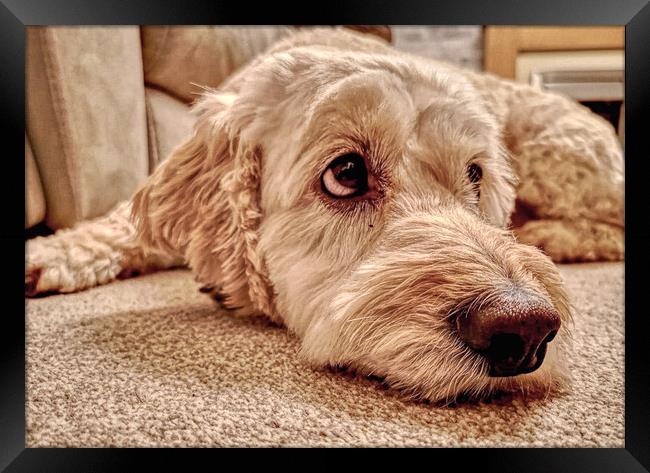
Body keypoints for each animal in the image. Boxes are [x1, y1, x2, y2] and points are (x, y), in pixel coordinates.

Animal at [25, 26, 624, 402]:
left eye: (476, 175)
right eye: (347, 173)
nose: (525, 329)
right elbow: (123, 222)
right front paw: (50, 251)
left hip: (556, 158)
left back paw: (548, 232)